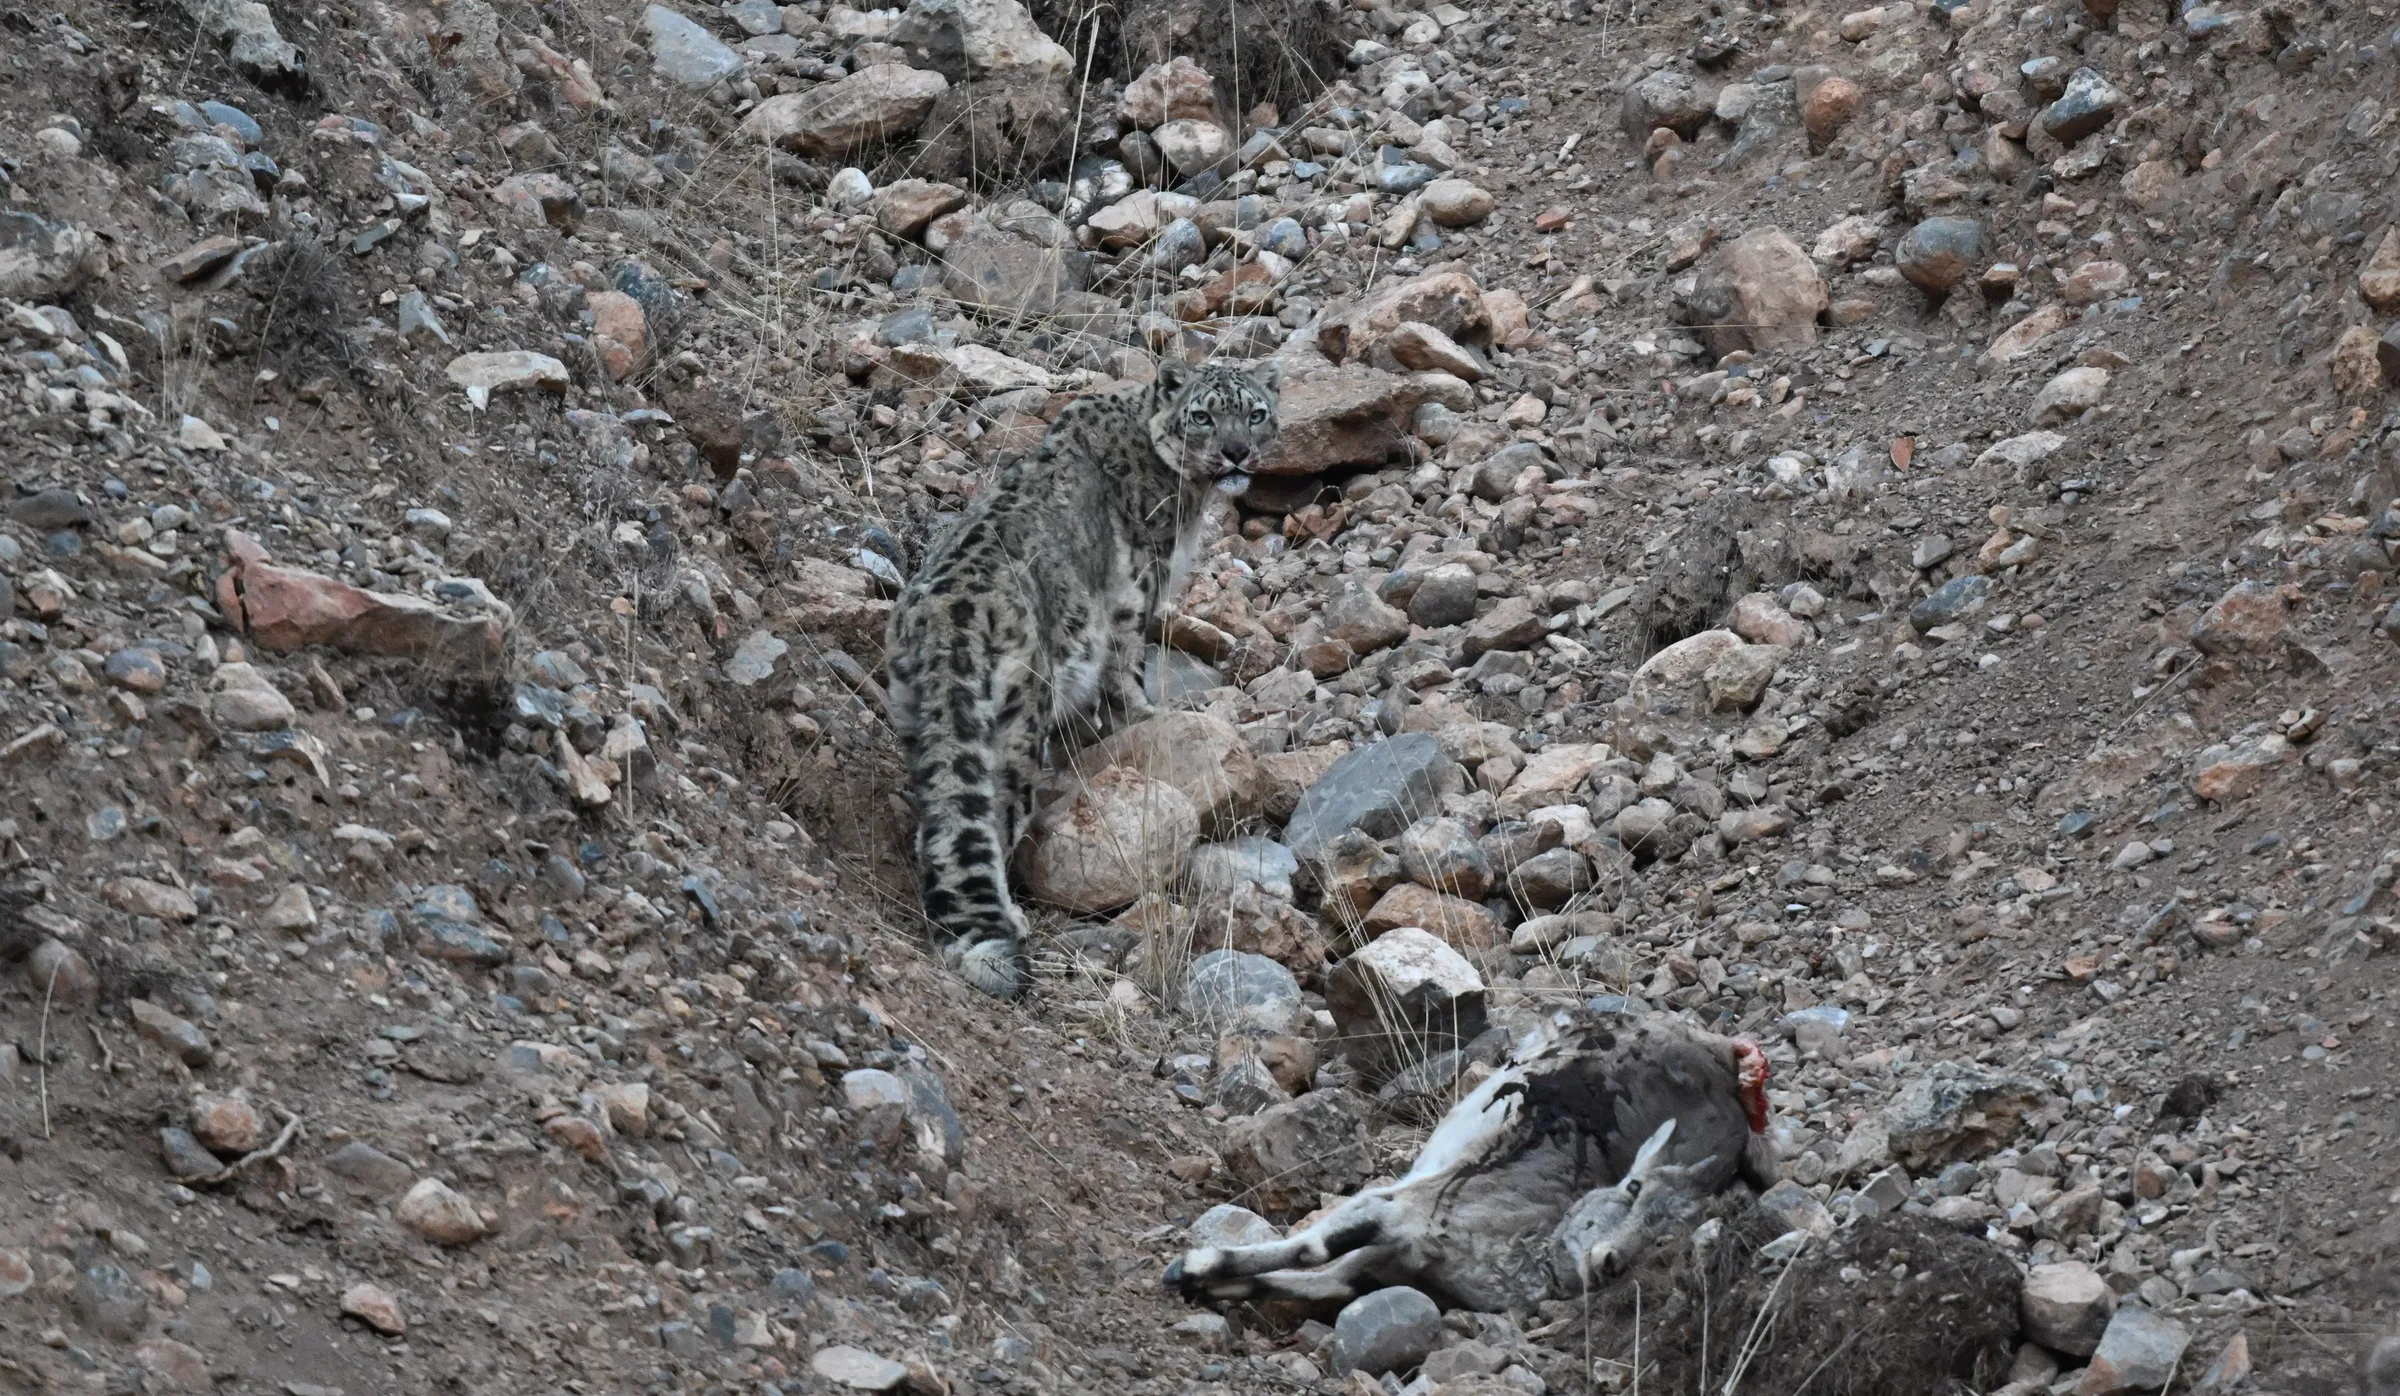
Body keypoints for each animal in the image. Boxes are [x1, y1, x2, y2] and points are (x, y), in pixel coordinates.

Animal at [884, 358, 1282, 998]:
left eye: (1256, 412)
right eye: (1202, 415)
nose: (1236, 452)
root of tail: (945, 618)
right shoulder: (1139, 585)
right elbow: (1125, 666)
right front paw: (1144, 715)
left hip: (914, 713)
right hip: (1018, 721)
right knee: (998, 810)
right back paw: (1012, 913)